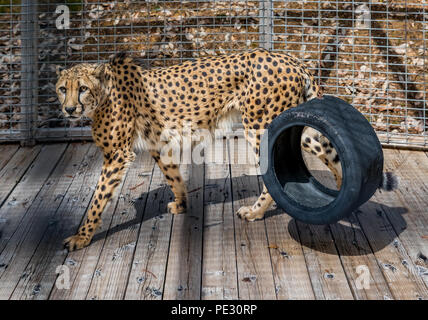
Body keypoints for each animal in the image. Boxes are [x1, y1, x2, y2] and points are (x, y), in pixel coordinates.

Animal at [56, 48, 394, 251]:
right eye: (62, 89)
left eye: (82, 88)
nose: (69, 109)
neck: (103, 94)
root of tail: (288, 58)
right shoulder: (158, 145)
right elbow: (173, 176)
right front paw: (181, 204)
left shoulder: (116, 155)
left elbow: (97, 199)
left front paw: (81, 236)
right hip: (292, 127)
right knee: (330, 154)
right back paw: (343, 197)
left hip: (260, 126)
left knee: (274, 171)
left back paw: (256, 211)